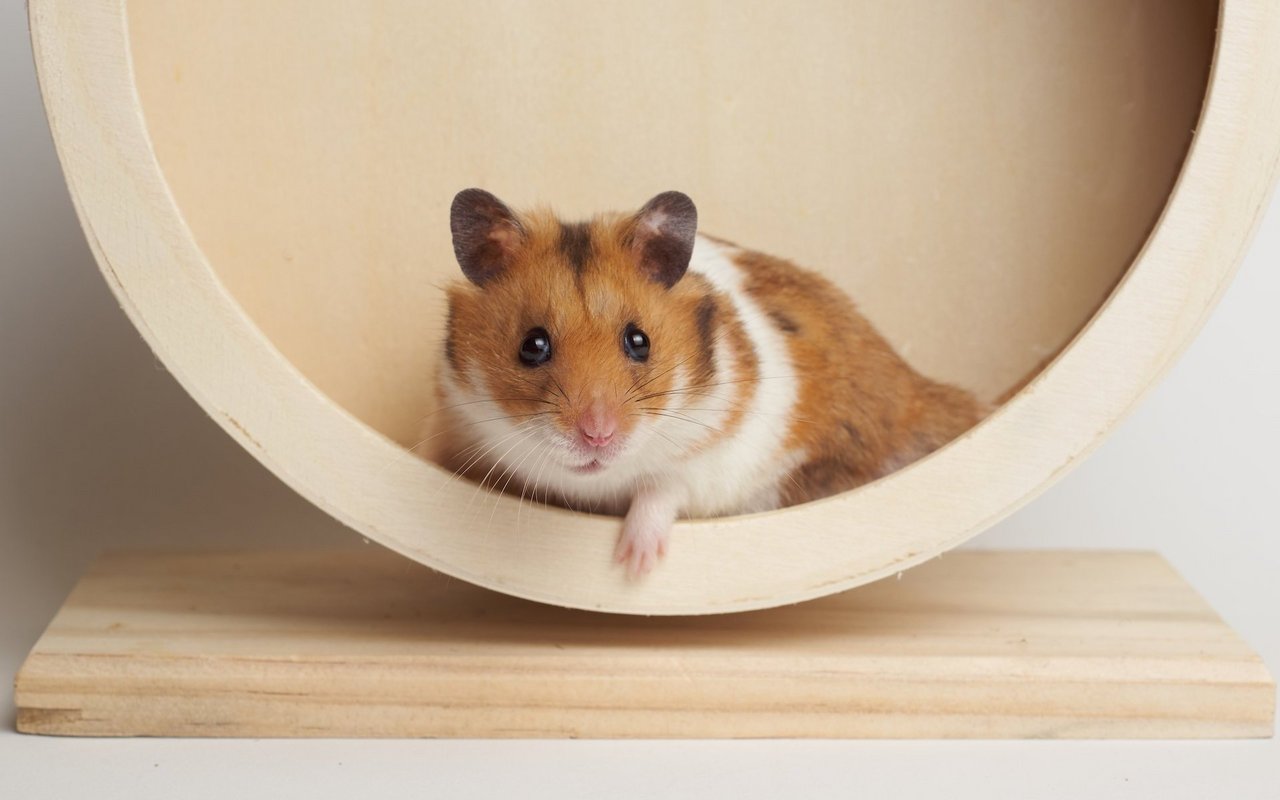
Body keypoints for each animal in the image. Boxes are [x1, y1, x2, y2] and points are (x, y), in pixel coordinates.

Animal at [432, 189, 984, 577]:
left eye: (639, 341)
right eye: (533, 345)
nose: (598, 435)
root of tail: (918, 390)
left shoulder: (715, 456)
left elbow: (662, 489)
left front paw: (634, 567)